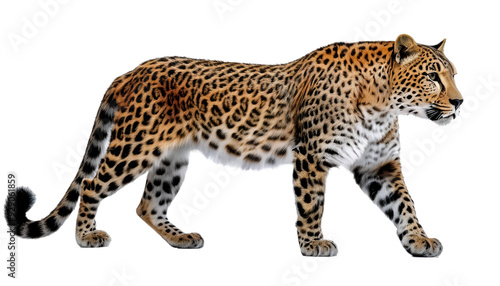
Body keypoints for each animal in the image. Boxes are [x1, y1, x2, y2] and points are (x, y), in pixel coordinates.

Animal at [4, 34, 464, 256]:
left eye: (454, 74)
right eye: (433, 77)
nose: (460, 102)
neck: (383, 104)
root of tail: (132, 70)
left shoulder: (378, 165)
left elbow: (404, 204)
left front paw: (418, 241)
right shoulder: (312, 156)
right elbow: (312, 205)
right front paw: (313, 245)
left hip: (172, 158)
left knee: (148, 204)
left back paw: (181, 239)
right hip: (134, 146)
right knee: (93, 184)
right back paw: (87, 237)